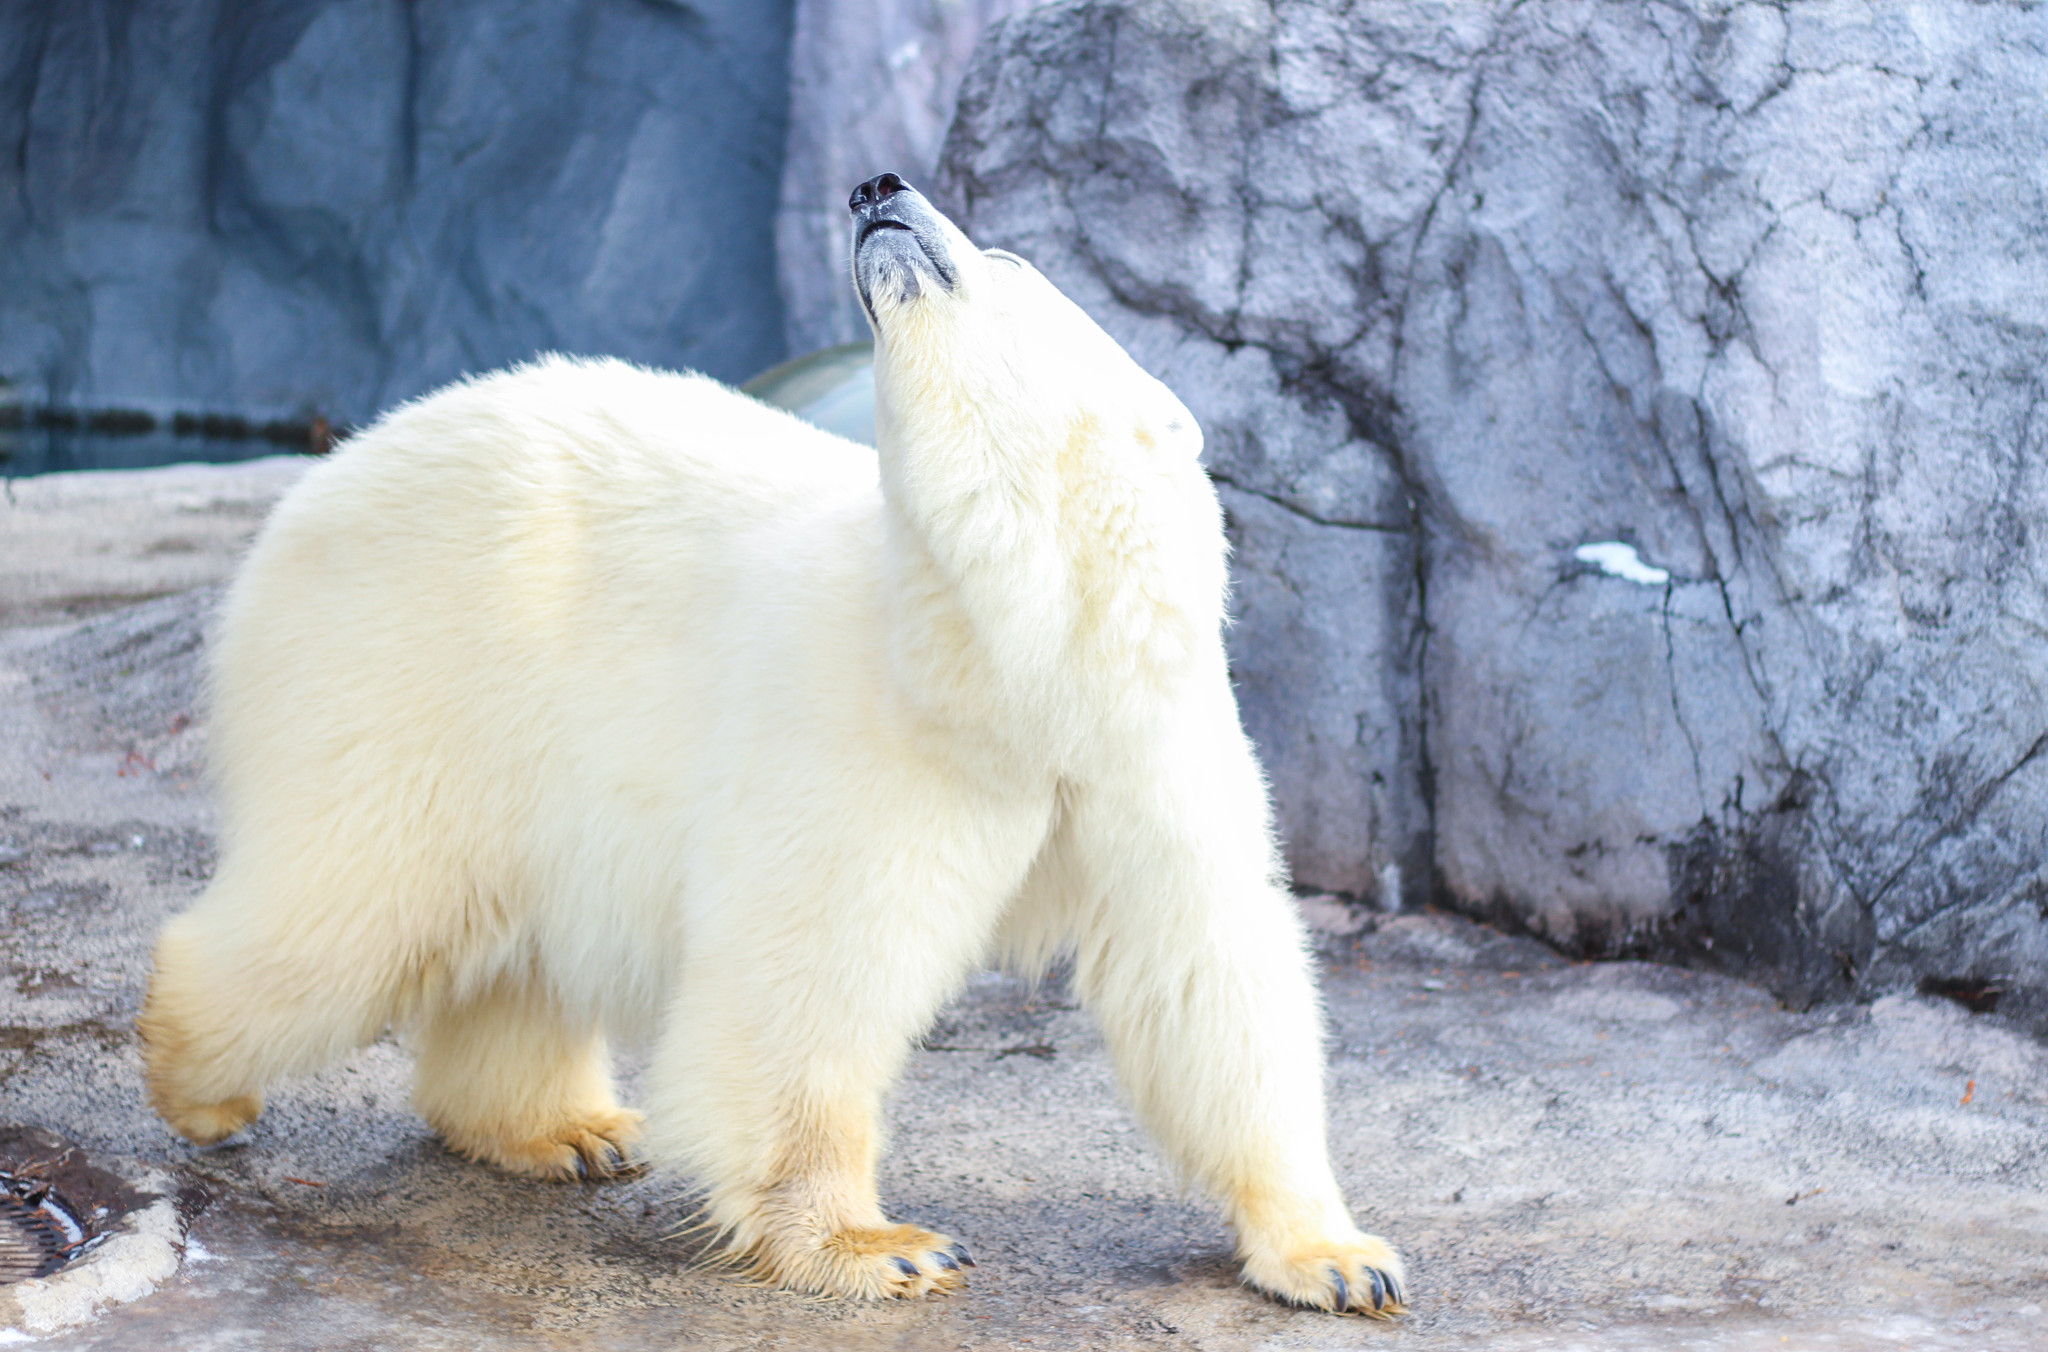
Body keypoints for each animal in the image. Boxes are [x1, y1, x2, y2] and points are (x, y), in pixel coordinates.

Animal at [132, 174, 1409, 1311]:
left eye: (1006, 260)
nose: (874, 185)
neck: (1003, 658)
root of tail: (336, 465)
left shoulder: (1143, 740)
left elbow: (1204, 966)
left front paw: (1339, 1258)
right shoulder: (872, 733)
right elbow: (812, 967)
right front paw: (880, 1245)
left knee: (502, 936)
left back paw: (568, 1127)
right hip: (415, 671)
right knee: (357, 903)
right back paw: (199, 1081)